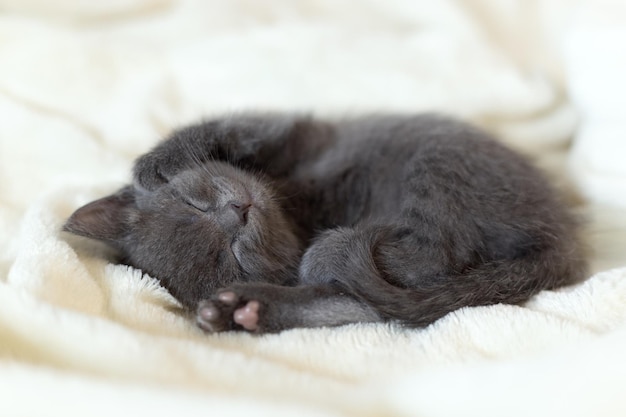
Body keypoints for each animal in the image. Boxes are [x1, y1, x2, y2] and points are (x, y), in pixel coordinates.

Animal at [63, 112, 584, 334]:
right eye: (232, 258)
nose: (238, 213)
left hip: (439, 162)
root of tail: (561, 240)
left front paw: (154, 165)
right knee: (390, 290)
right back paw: (243, 309)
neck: (294, 206)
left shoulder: (294, 130)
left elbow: (230, 128)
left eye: (195, 203)